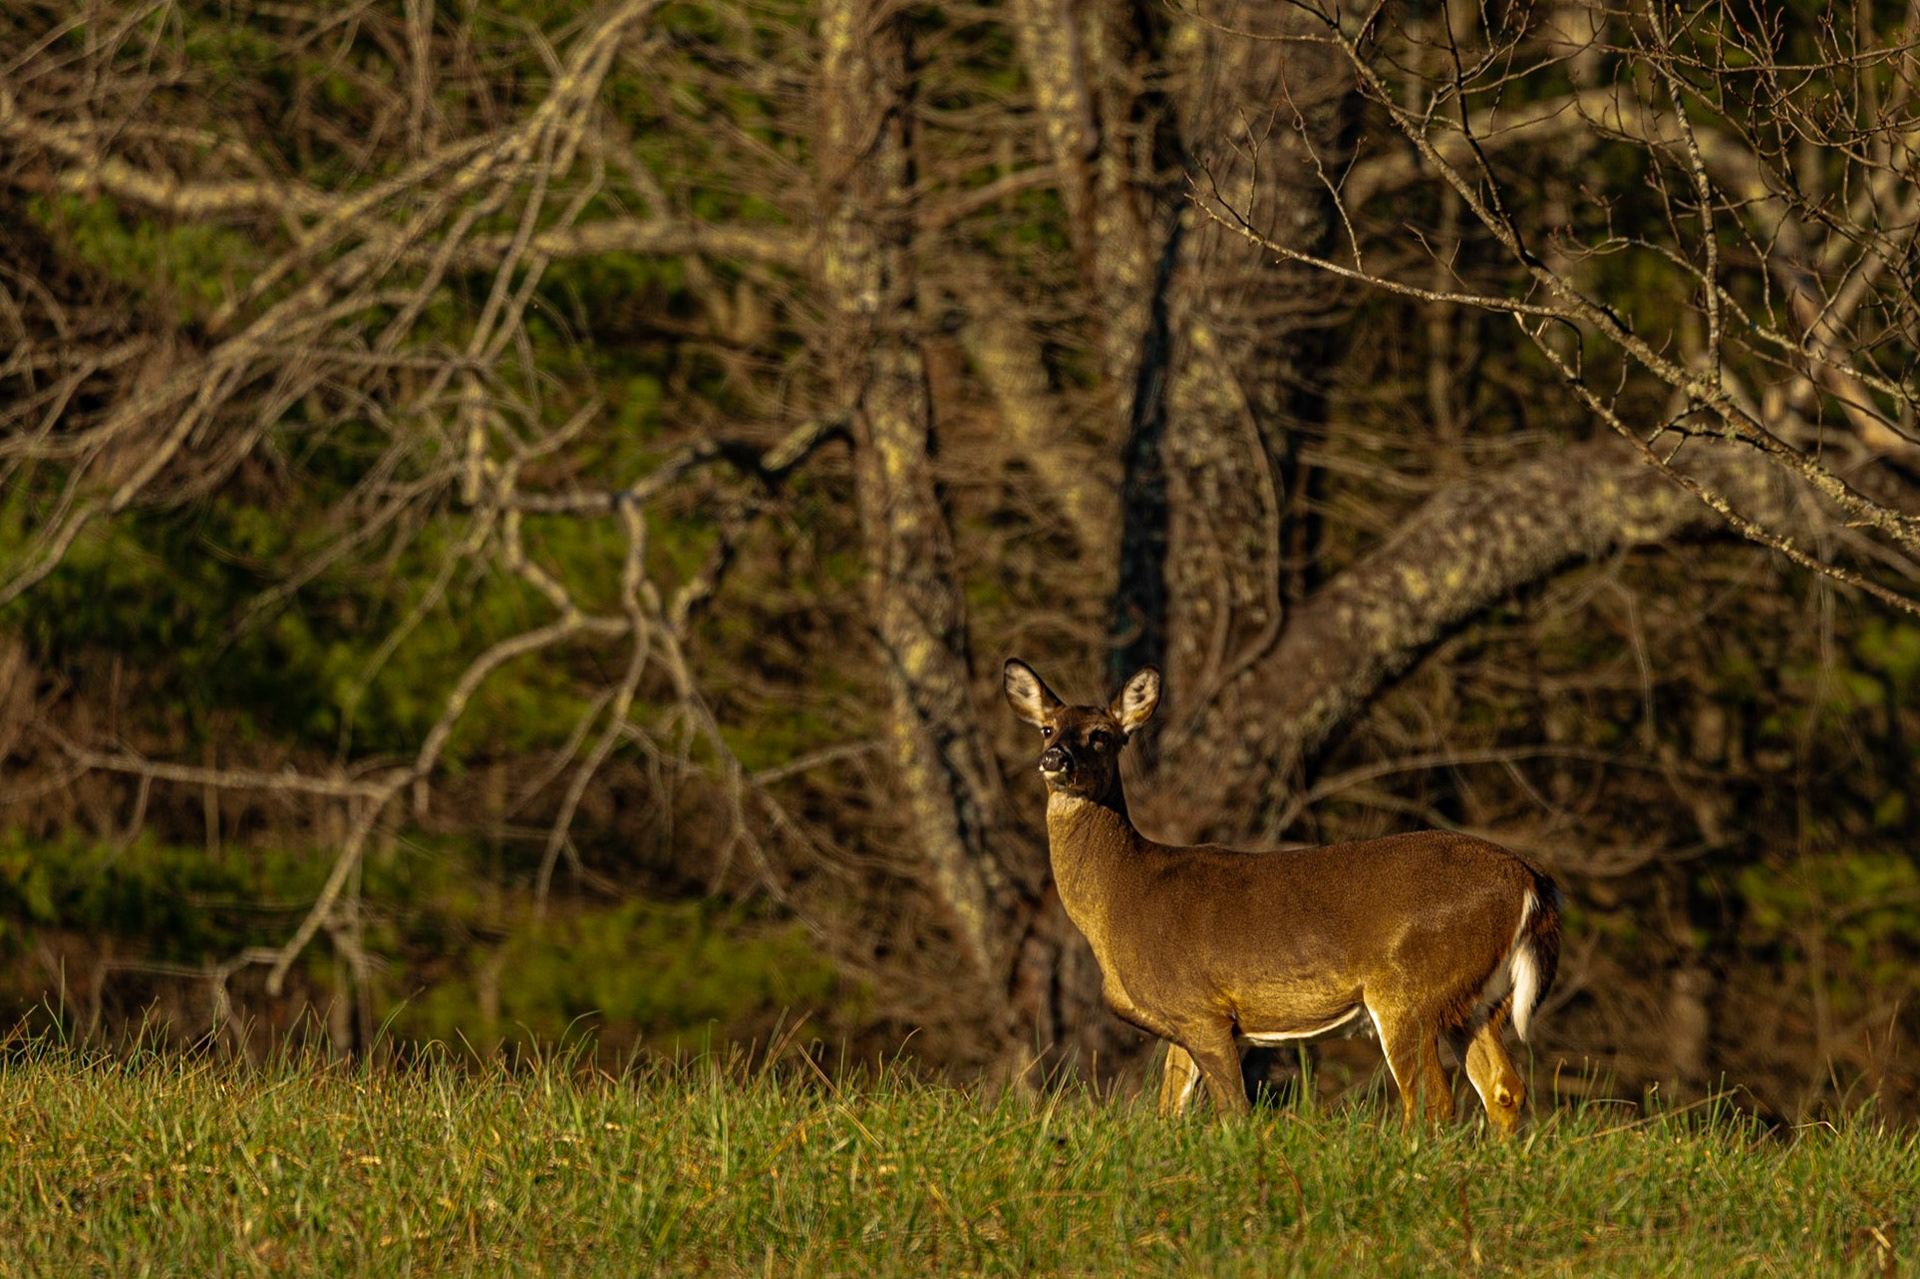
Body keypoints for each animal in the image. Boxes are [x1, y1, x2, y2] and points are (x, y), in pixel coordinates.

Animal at [1004, 658, 1561, 1134]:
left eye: (1102, 736)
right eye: (1048, 728)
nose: (1054, 758)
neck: (1122, 892)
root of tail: (1530, 878)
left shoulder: (1201, 1007)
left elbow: (1233, 1111)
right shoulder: (1181, 1019)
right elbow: (1169, 1110)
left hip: (1411, 991)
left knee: (1430, 1103)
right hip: (1477, 1000)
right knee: (1503, 1089)